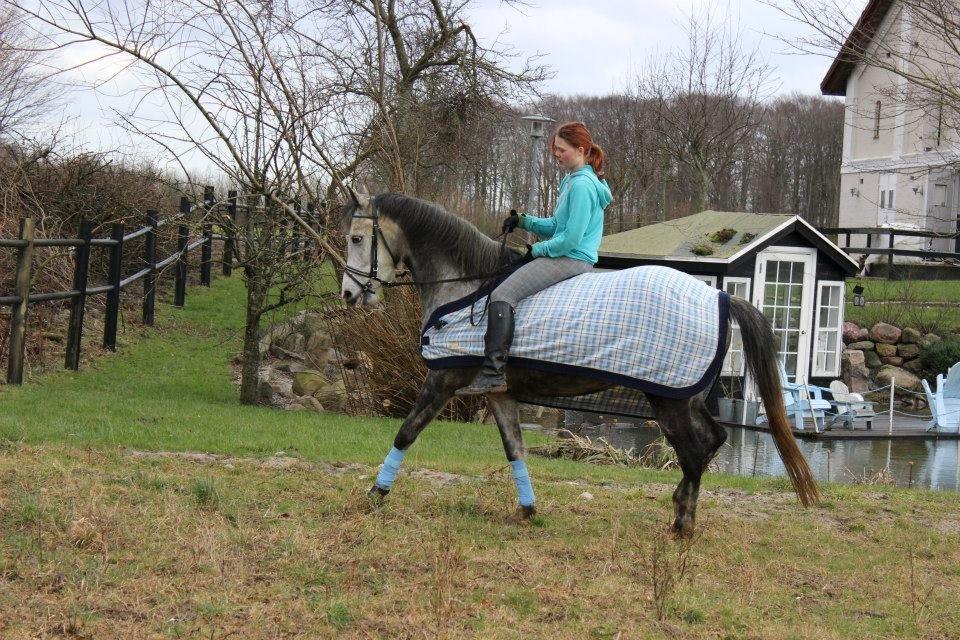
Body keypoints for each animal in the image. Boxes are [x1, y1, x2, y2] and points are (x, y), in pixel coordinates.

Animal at [338, 189, 816, 536]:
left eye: (357, 238)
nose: (348, 294)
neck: (467, 285)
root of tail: (719, 295)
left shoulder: (443, 380)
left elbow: (406, 432)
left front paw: (375, 494)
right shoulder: (499, 394)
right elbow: (515, 447)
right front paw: (527, 510)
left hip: (671, 399)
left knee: (695, 448)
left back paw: (682, 523)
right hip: (685, 397)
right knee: (712, 441)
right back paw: (681, 509)